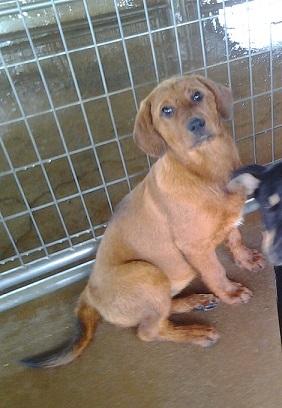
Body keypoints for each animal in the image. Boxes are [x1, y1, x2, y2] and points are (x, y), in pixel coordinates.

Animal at [21, 75, 264, 368]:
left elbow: (235, 238)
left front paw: (246, 259)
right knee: (148, 331)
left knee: (161, 310)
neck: (207, 168)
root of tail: (88, 294)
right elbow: (215, 271)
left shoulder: (229, 219)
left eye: (197, 95)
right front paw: (230, 293)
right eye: (166, 110)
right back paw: (196, 332)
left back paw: (193, 301)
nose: (196, 124)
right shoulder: (195, 248)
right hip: (148, 272)